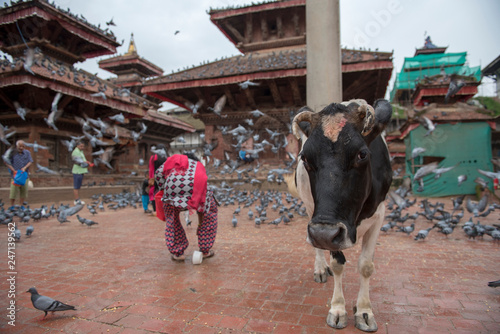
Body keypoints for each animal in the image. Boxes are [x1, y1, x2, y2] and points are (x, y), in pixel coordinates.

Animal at [292, 98, 392, 332]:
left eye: (362, 154)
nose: (322, 233)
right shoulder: (325, 225)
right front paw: (337, 309)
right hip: (310, 209)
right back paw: (320, 268)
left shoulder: (379, 215)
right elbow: (338, 264)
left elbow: (366, 266)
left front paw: (364, 311)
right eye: (305, 158)